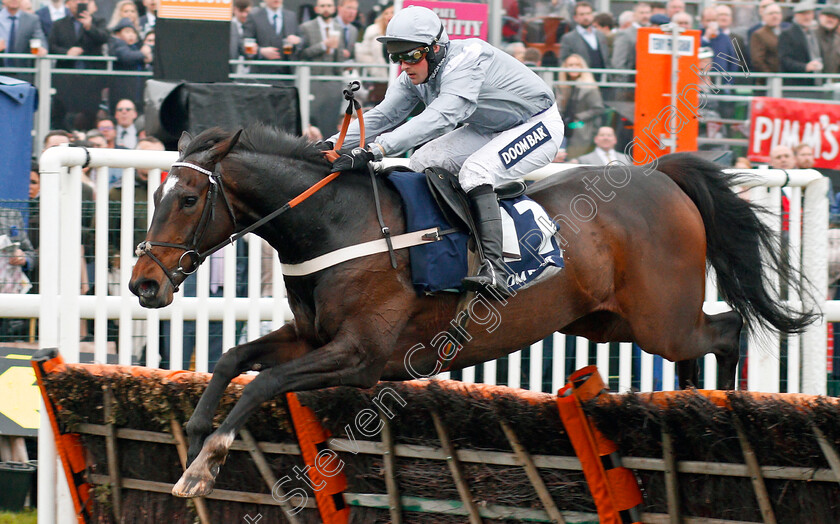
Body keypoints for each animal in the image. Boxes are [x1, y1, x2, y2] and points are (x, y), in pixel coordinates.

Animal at [130, 125, 812, 498]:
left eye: (186, 198)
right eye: (156, 192)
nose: (144, 284)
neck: (335, 223)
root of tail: (662, 176)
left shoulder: (361, 358)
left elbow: (262, 381)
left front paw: (207, 463)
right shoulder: (311, 336)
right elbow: (231, 359)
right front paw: (195, 441)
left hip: (661, 319)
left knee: (725, 332)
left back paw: (723, 410)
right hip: (606, 319)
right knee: (702, 349)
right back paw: (687, 408)